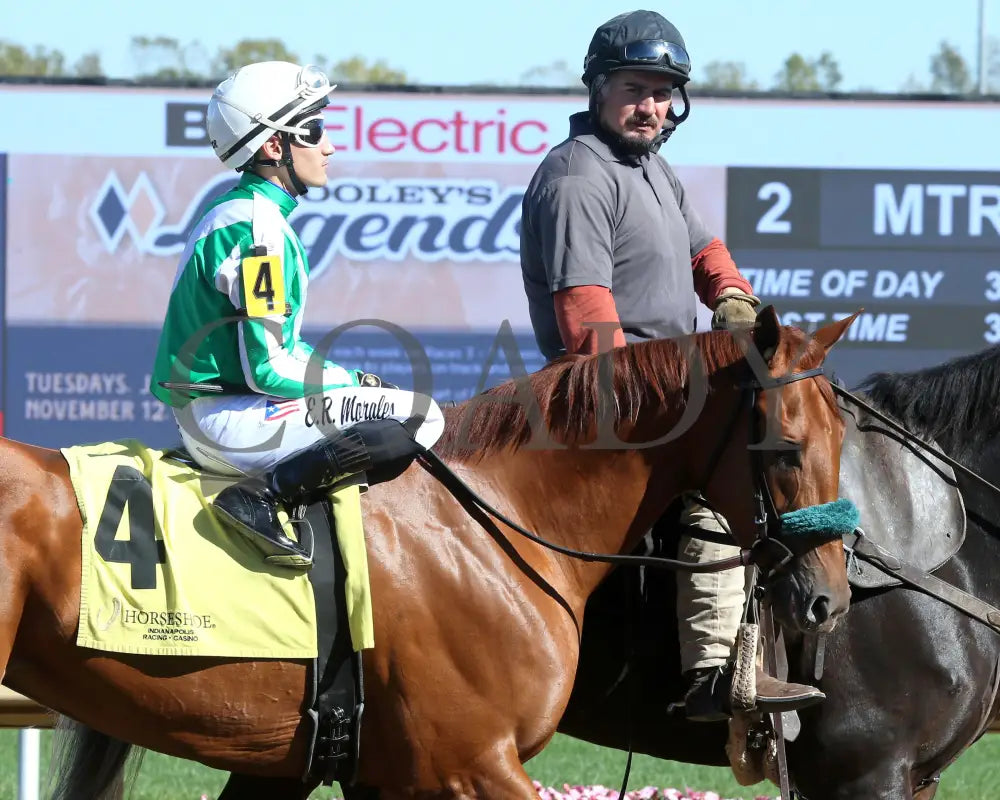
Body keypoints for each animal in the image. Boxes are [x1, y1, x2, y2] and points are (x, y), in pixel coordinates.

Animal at [2, 310, 851, 800]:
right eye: (786, 448)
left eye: (844, 439)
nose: (829, 600)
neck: (498, 516)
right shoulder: (468, 765)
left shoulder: (343, 767)